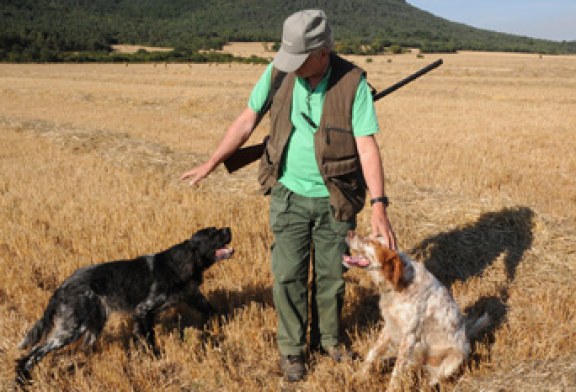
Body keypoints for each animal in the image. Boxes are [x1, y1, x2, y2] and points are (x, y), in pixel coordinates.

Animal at [16, 227, 232, 382]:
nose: (229, 228)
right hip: (71, 328)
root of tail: (62, 287)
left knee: (83, 348)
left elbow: (214, 313)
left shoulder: (190, 298)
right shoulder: (143, 310)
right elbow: (150, 341)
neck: (181, 263)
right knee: (32, 355)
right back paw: (22, 380)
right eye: (212, 233)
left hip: (92, 324)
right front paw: (157, 360)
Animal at [344, 231, 488, 388]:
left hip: (456, 357)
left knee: (435, 377)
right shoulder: (390, 325)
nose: (349, 233)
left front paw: (391, 388)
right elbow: (373, 352)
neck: (401, 285)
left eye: (371, 242)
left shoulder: (409, 335)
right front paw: (359, 376)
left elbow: (397, 371)